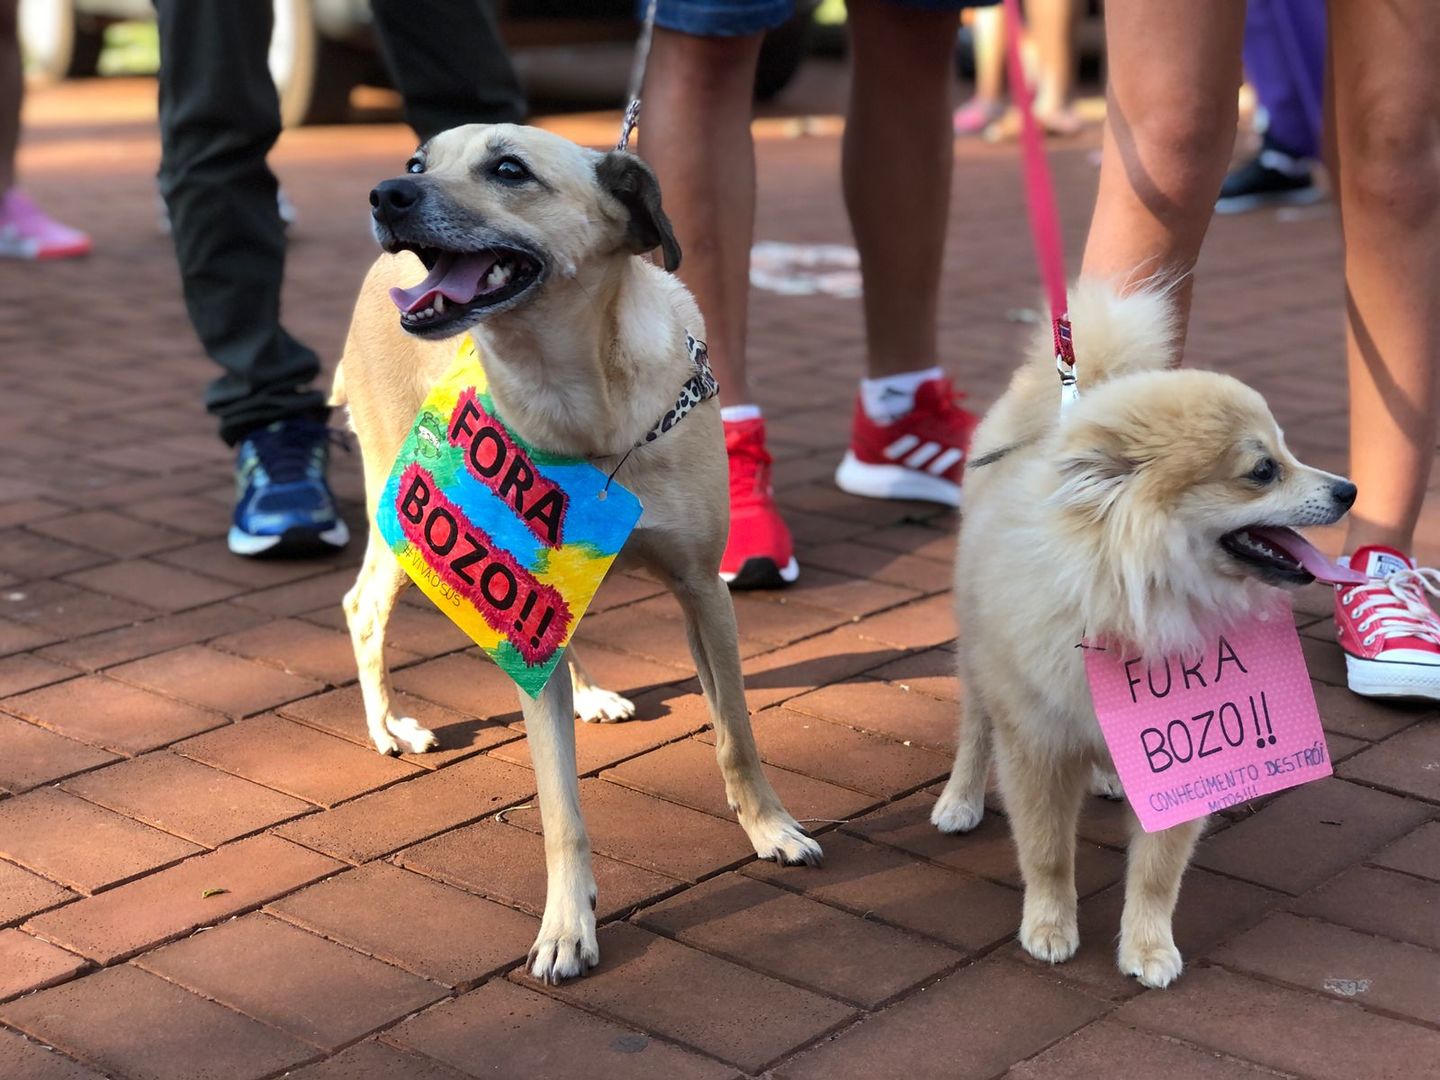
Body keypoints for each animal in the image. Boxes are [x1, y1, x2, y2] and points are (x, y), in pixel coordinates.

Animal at [329, 122, 817, 984]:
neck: (582, 402)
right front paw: (567, 923)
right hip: (400, 519)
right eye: (419, 161)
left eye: (508, 168)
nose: (388, 192)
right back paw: (389, 727)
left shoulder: (704, 593)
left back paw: (588, 692)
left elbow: (737, 734)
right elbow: (561, 806)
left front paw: (770, 829)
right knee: (363, 608)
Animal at [927, 285, 1353, 990]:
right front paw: (1050, 927)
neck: (1139, 596)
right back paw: (959, 801)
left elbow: (1157, 871)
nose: (1349, 489)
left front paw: (1148, 949)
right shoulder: (1036, 743)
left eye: (1290, 454)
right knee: (974, 728)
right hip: (981, 660)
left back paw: (1106, 777)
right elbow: (1046, 850)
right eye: (1264, 470)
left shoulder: (1186, 759)